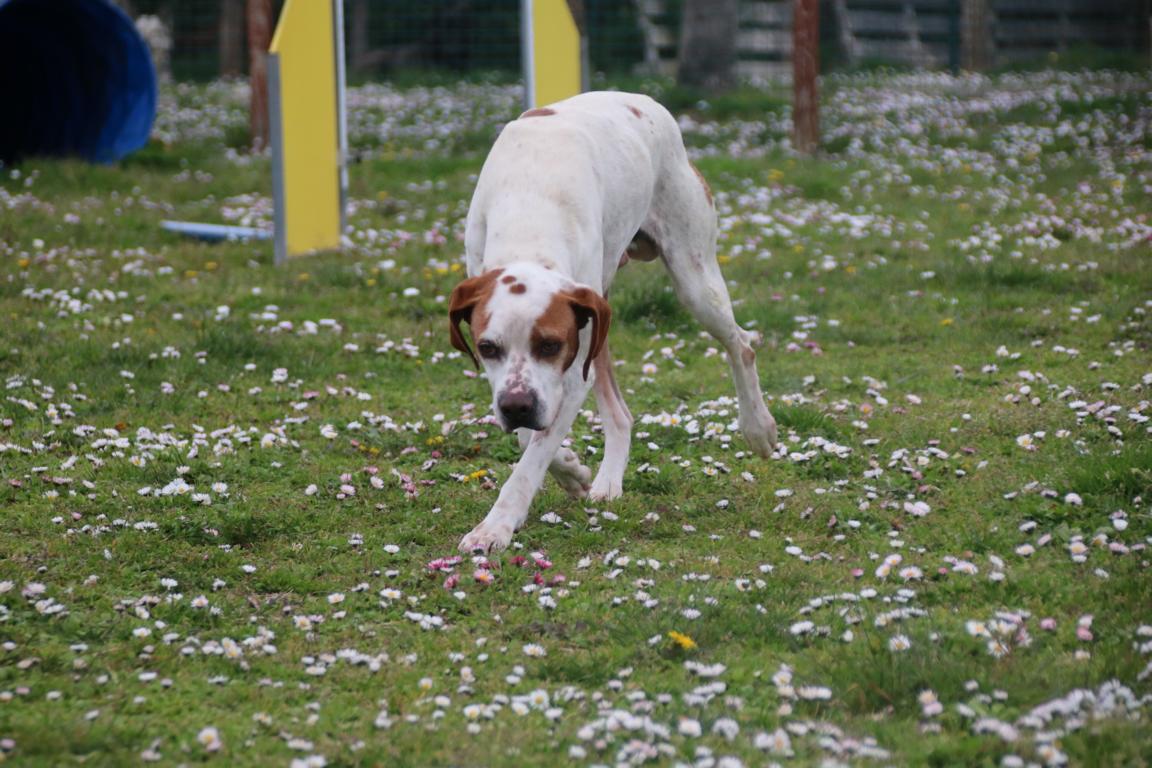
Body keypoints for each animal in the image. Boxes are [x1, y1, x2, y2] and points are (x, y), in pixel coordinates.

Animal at [448, 91, 777, 553]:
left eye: (550, 344)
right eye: (486, 348)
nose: (517, 407)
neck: (528, 217)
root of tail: (641, 99)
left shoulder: (568, 371)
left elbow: (529, 461)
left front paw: (495, 526)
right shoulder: (521, 378)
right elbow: (529, 436)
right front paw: (572, 470)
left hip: (693, 280)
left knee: (741, 344)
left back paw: (758, 428)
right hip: (598, 314)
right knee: (619, 413)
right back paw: (606, 481)